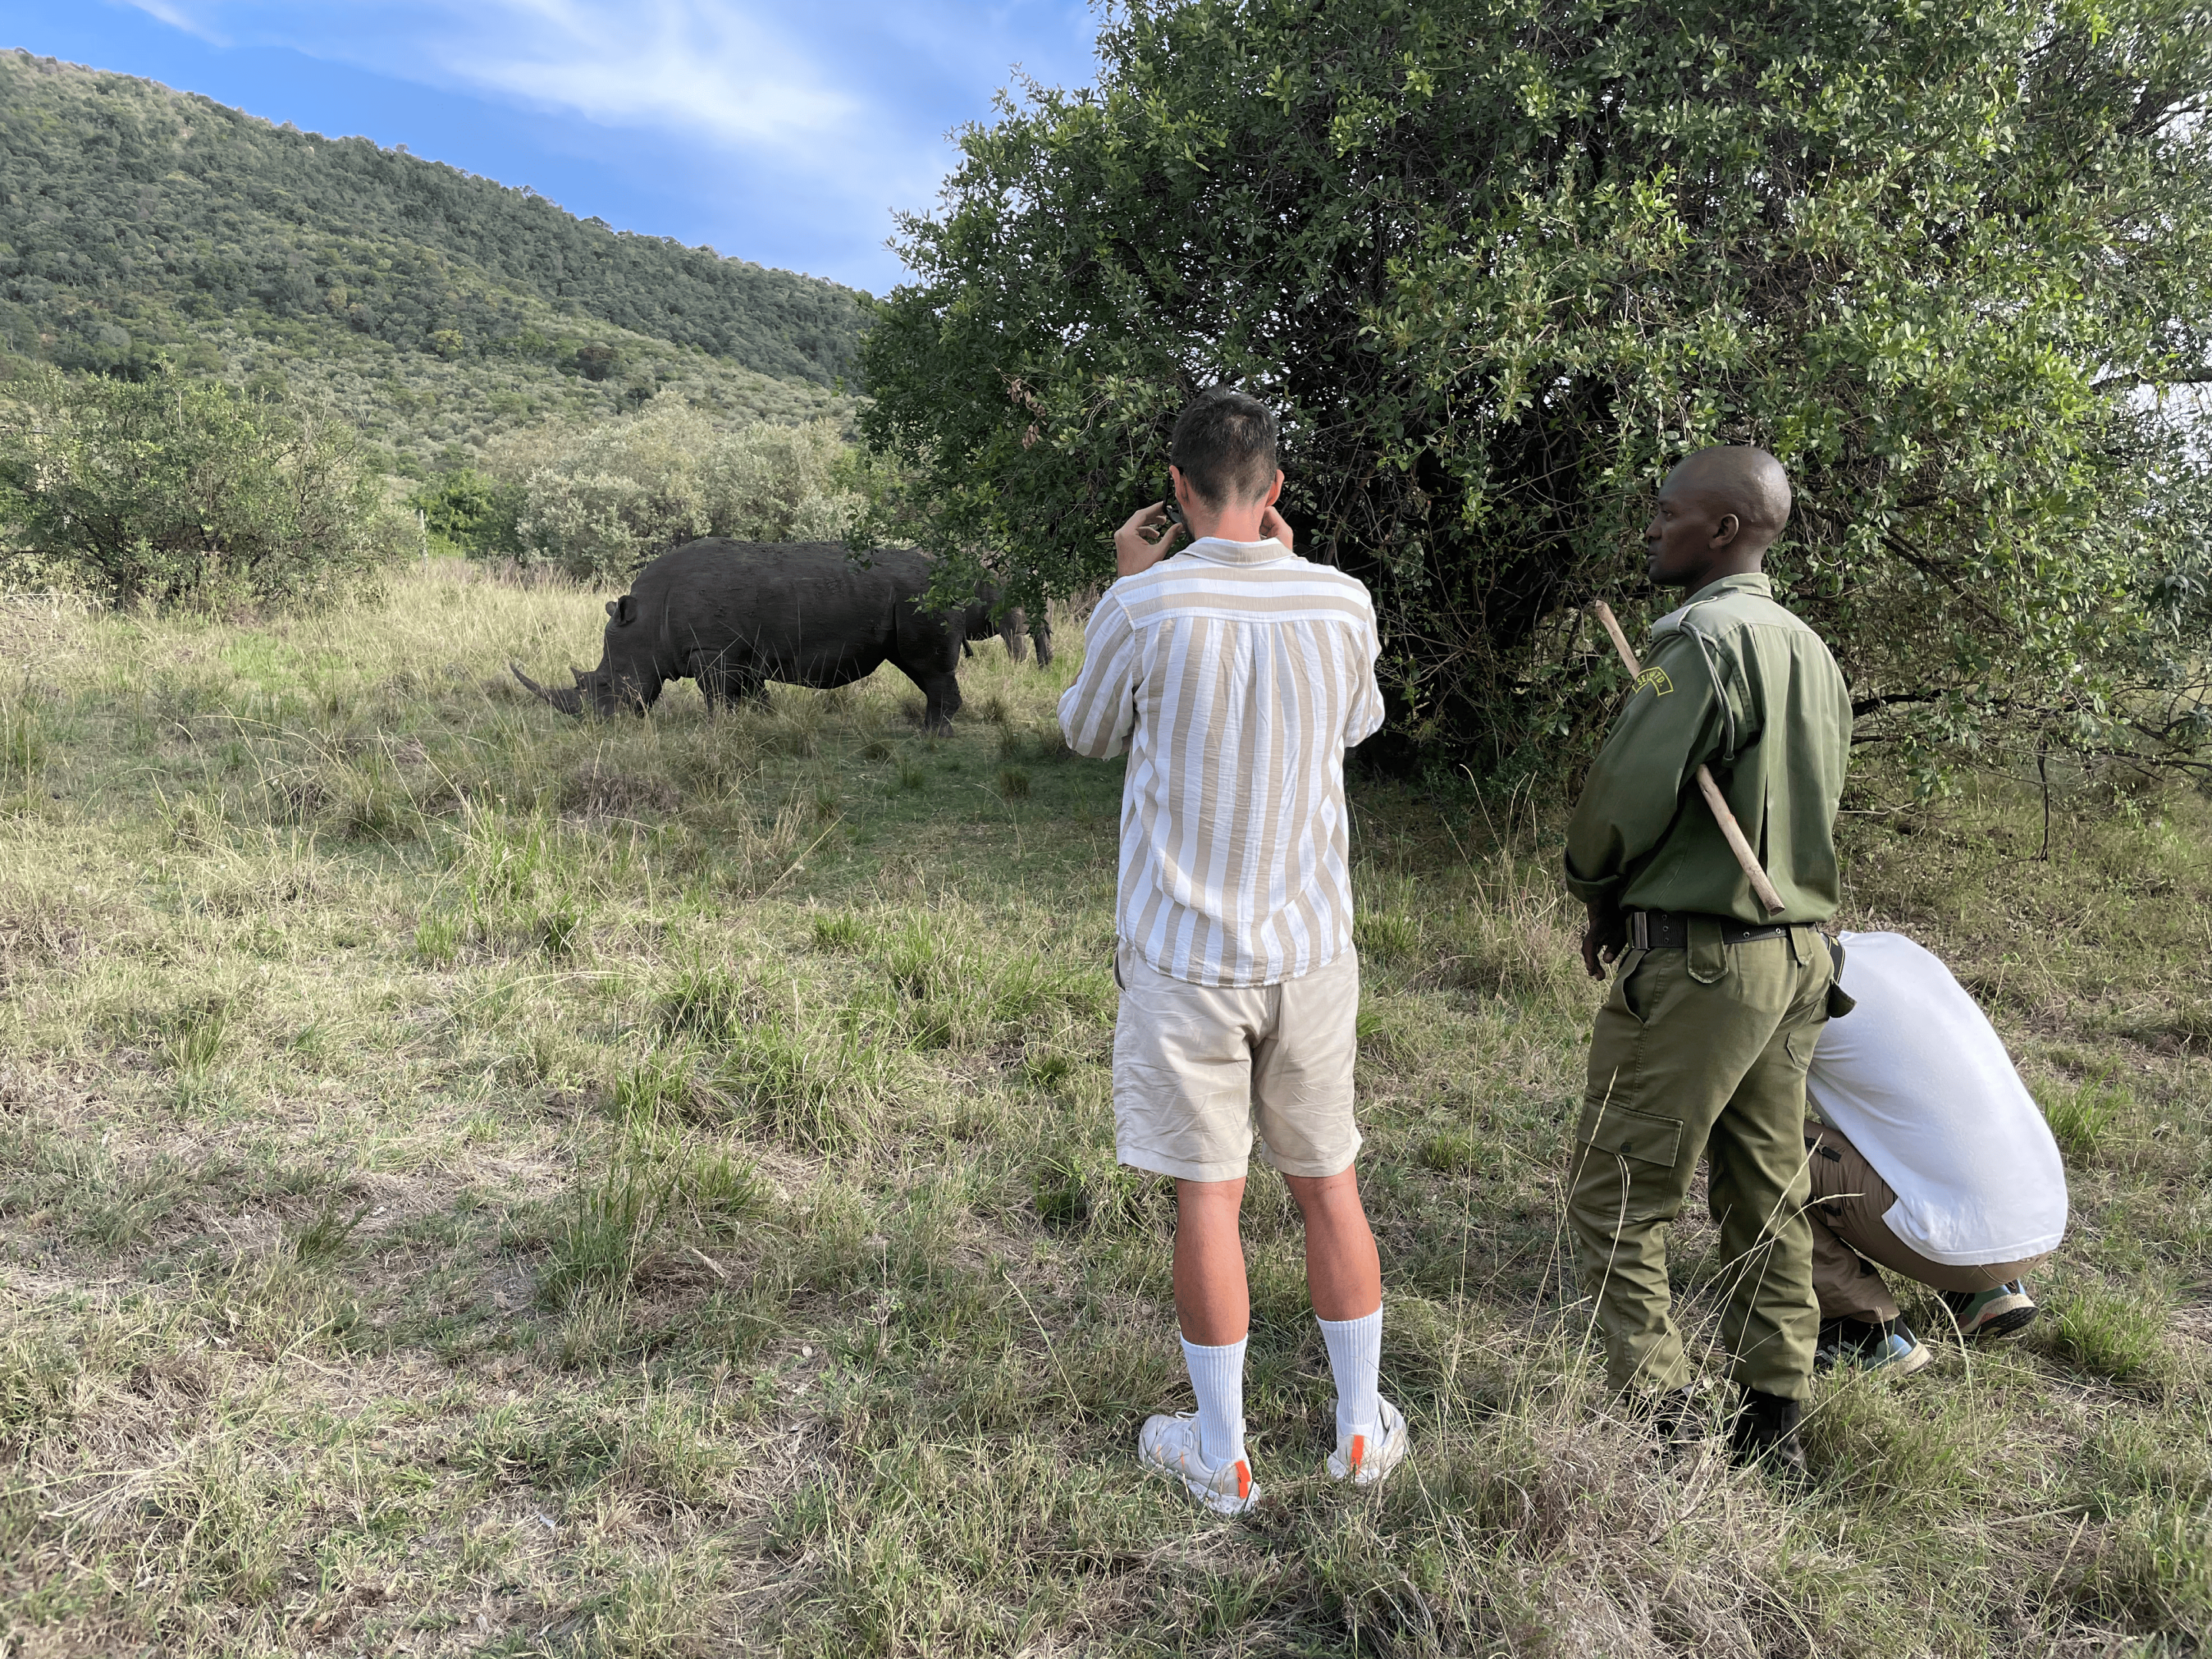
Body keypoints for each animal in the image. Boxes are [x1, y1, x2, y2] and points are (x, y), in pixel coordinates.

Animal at [513, 541, 1031, 730]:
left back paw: (932, 735)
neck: (645, 621)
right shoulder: (737, 654)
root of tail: (951, 576)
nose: (595, 724)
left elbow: (717, 698)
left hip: (921, 598)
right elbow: (752, 694)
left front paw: (717, 731)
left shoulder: (712, 651)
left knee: (927, 668)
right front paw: (762, 722)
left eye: (602, 685)